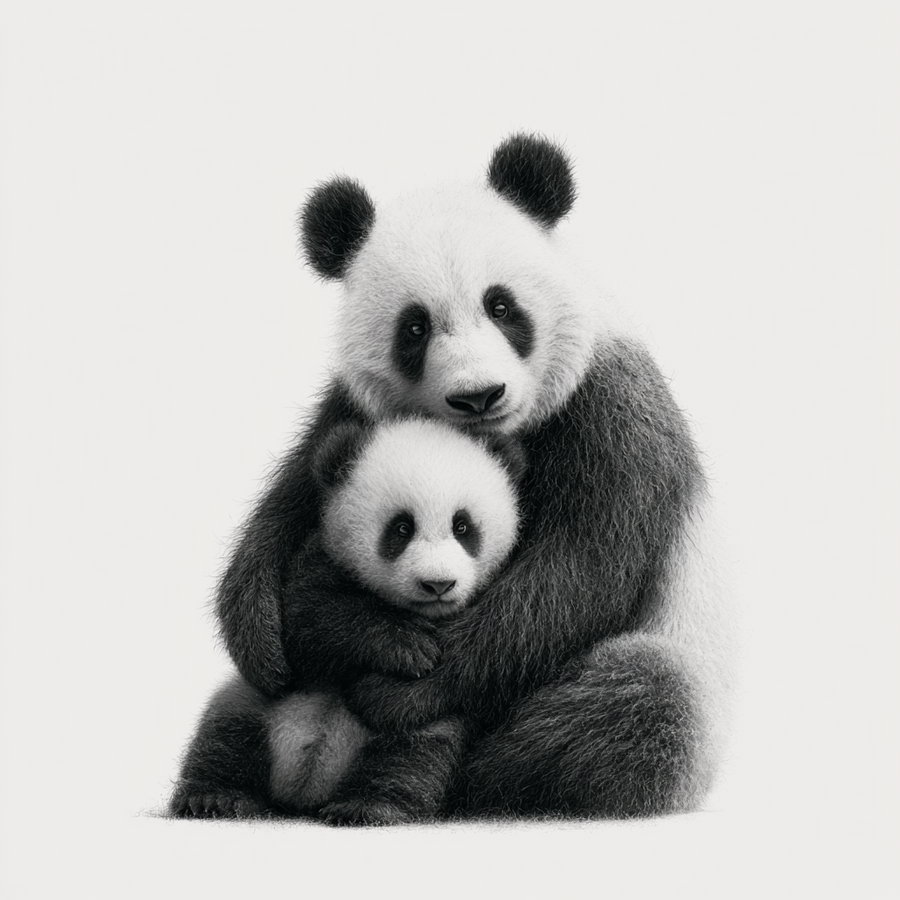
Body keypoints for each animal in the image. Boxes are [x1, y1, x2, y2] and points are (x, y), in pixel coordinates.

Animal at [171, 418, 524, 823]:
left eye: (462, 527)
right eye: (402, 528)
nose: (438, 584)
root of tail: (304, 794)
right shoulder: (316, 559)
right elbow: (309, 619)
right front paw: (407, 646)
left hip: (418, 723)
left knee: (409, 756)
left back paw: (368, 805)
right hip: (258, 699)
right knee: (226, 730)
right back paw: (216, 796)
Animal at [215, 134, 732, 818]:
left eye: (502, 305)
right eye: (414, 327)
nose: (479, 396)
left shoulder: (613, 419)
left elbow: (578, 571)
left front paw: (402, 690)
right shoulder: (357, 414)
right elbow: (297, 498)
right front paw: (263, 637)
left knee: (644, 697)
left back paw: (477, 781)